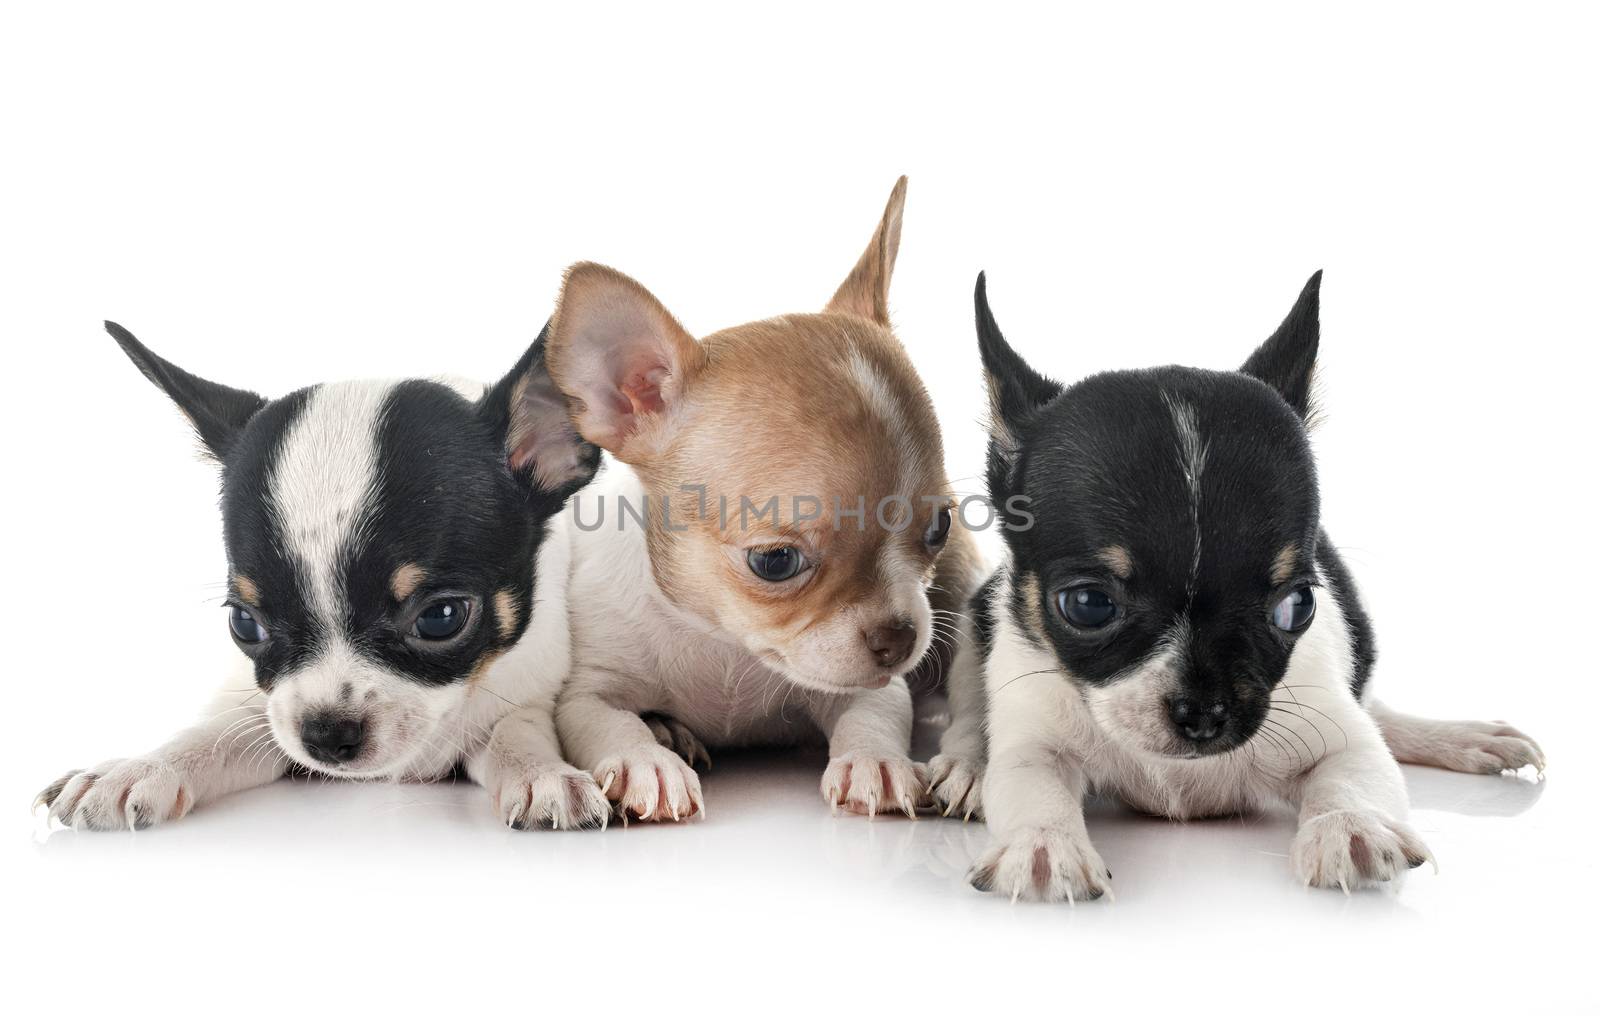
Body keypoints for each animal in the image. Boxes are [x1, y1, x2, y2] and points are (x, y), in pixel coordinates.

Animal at [39, 321, 611, 832]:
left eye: (442, 617)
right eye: (245, 624)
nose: (325, 734)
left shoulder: (522, 694)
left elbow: (515, 731)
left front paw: (542, 773)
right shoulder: (265, 716)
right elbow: (215, 733)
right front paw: (139, 767)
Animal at [544, 179, 979, 825]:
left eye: (940, 527)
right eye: (775, 562)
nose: (900, 637)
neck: (721, 643)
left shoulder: (868, 686)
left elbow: (873, 713)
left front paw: (874, 762)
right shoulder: (587, 688)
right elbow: (607, 721)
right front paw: (648, 760)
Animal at [934, 273, 1542, 902]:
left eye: (1296, 604)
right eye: (1088, 605)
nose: (1205, 714)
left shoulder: (1337, 728)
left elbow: (1355, 771)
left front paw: (1352, 825)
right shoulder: (1033, 735)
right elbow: (1032, 783)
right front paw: (1043, 843)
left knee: (1381, 715)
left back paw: (1463, 737)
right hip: (975, 628)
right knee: (968, 711)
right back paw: (966, 767)